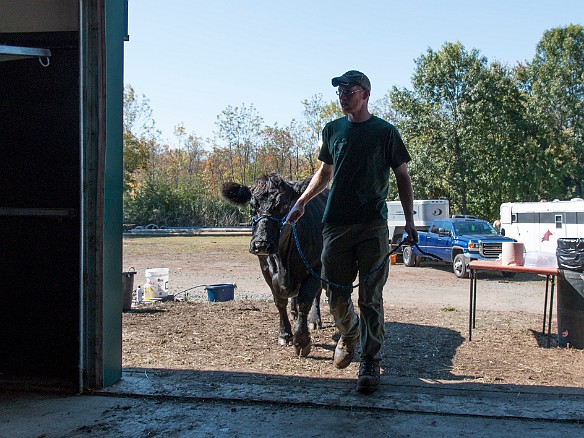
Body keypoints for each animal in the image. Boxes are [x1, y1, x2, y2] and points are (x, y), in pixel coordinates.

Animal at [221, 173, 326, 358]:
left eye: (284, 205)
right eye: (252, 207)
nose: (261, 244)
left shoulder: (316, 268)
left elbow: (306, 300)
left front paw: (301, 340)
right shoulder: (266, 269)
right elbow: (280, 301)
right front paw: (285, 334)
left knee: (317, 295)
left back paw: (315, 320)